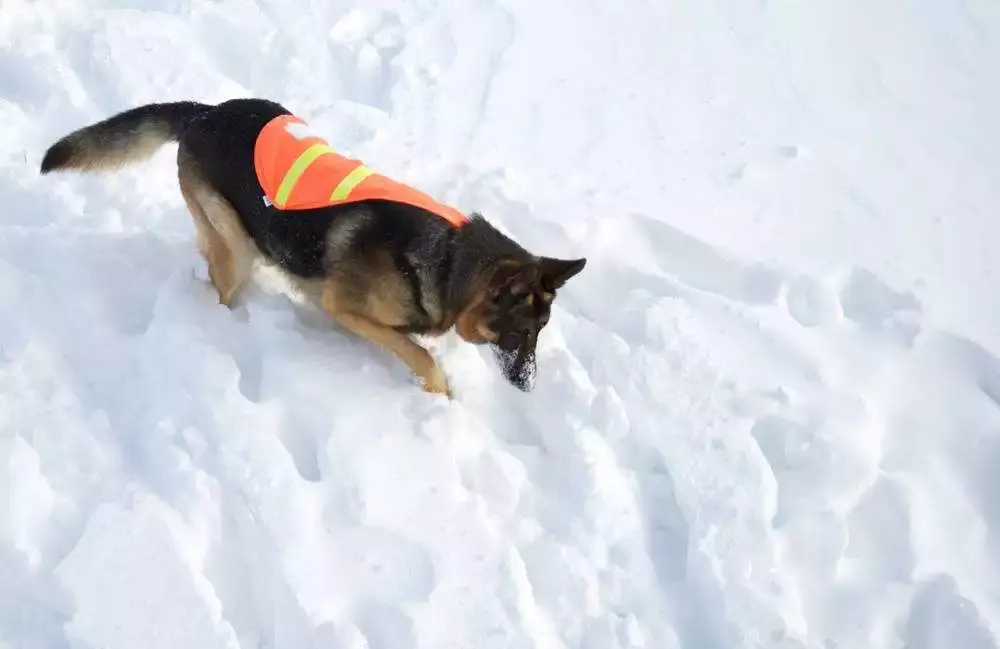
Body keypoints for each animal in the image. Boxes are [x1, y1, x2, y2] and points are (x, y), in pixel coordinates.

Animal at [39, 97, 584, 394]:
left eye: (540, 333)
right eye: (519, 333)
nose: (529, 384)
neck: (449, 258)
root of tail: (205, 113)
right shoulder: (345, 309)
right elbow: (422, 356)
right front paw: (440, 393)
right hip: (236, 245)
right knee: (221, 277)